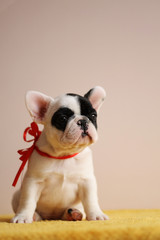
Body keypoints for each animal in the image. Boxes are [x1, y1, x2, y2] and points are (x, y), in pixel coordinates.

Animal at [11, 86, 109, 223]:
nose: (83, 121)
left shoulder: (86, 181)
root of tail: (53, 217)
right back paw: (35, 216)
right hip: (16, 196)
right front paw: (23, 216)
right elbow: (27, 201)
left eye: (93, 115)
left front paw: (96, 214)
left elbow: (91, 200)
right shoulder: (33, 181)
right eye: (62, 119)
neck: (64, 154)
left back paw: (74, 214)